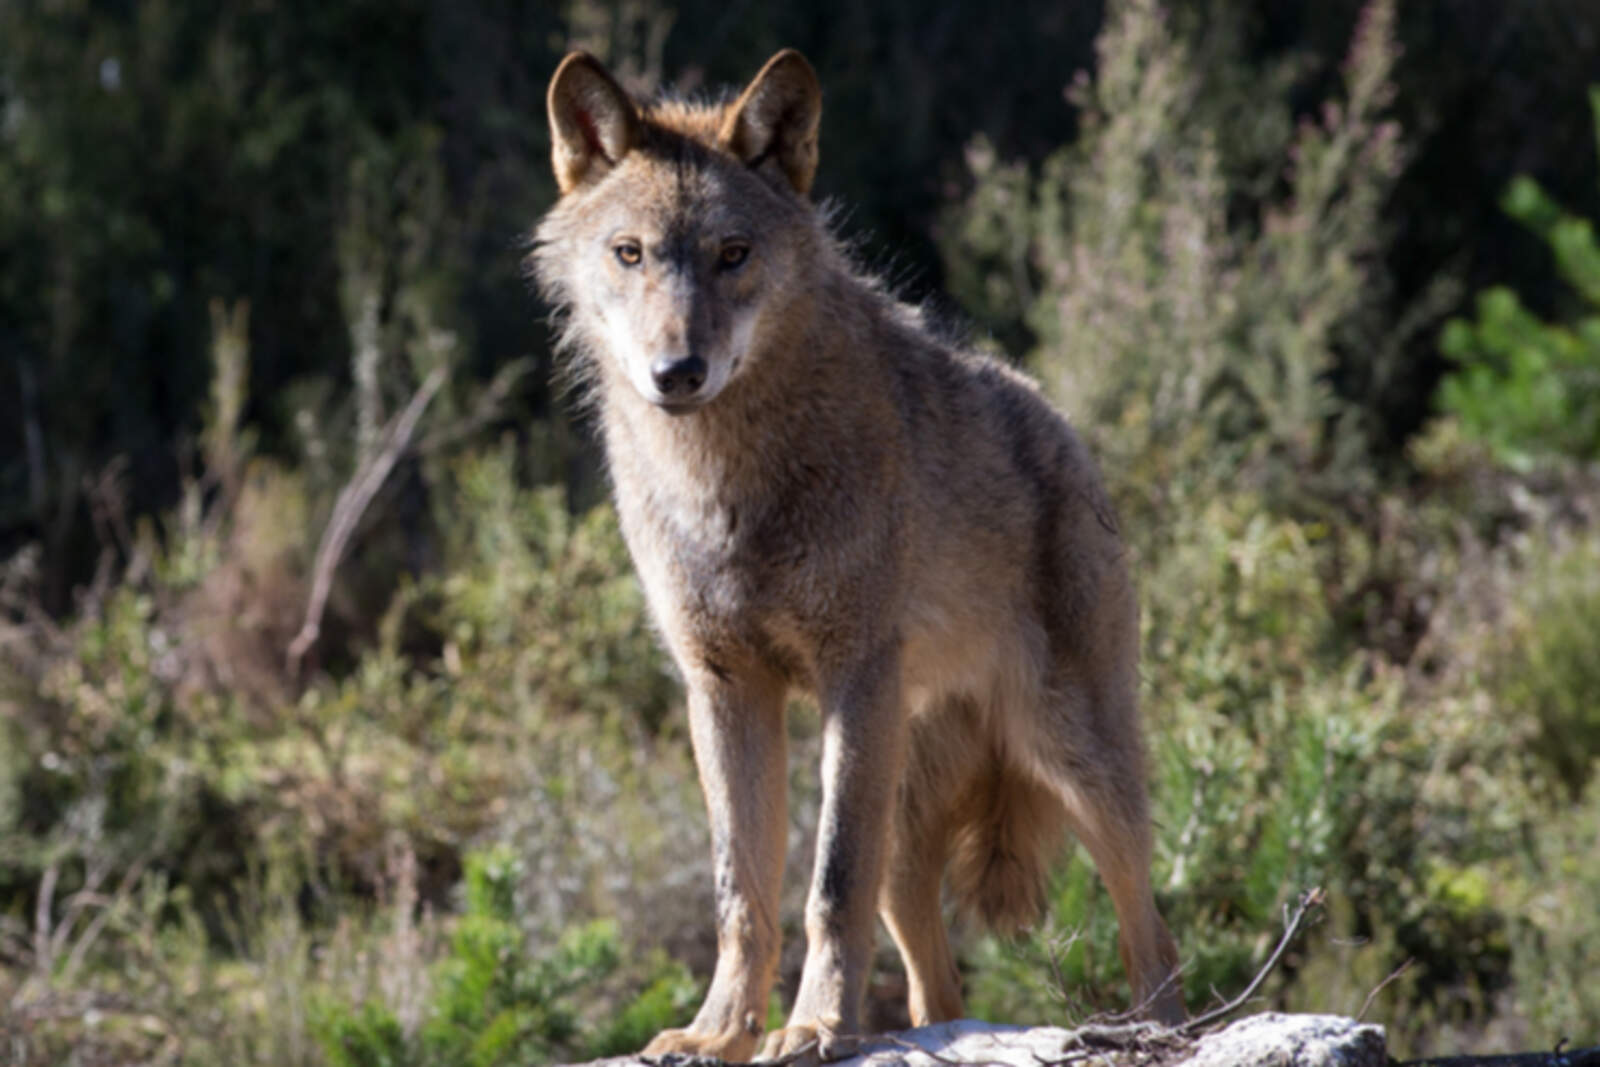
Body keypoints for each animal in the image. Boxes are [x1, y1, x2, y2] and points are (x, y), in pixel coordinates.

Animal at [531, 47, 1184, 1062]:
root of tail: (1062, 425)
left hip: (1071, 758)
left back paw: (1157, 1025)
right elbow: (742, 892)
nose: (677, 373)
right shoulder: (723, 688)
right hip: (909, 825)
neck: (726, 482)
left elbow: (826, 885)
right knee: (934, 987)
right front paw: (719, 1032)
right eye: (629, 252)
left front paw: (813, 1026)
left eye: (733, 253)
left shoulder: (853, 674)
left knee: (1151, 933)